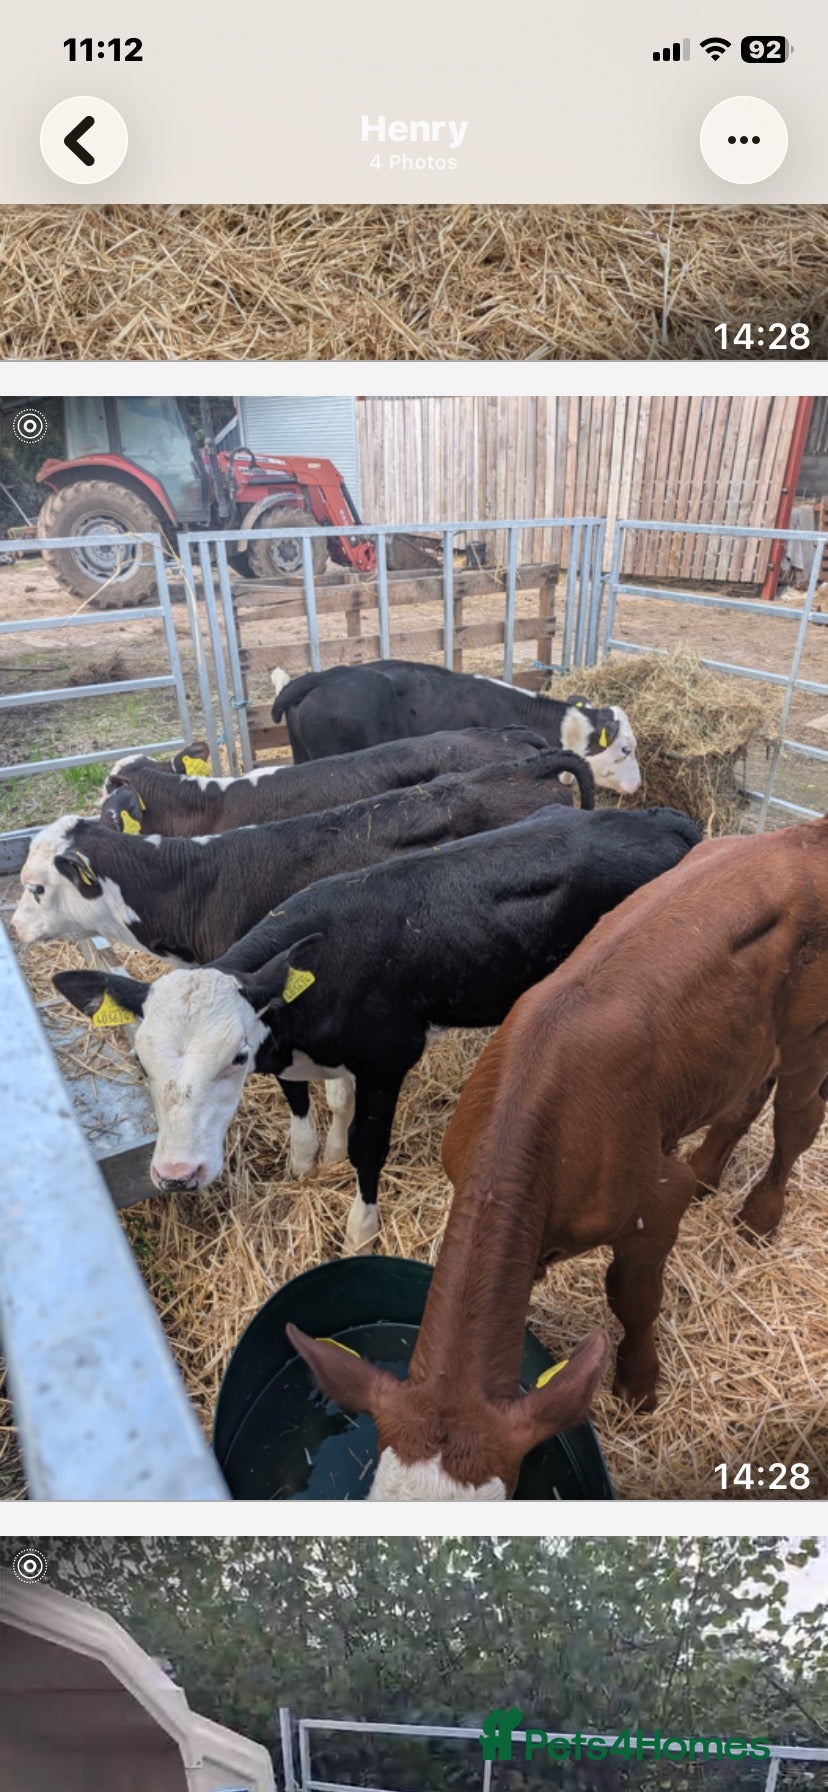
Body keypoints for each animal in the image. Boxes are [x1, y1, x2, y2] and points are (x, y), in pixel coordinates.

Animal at [53, 803, 701, 1252]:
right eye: (140, 1060)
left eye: (237, 1056)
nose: (177, 1175)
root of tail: (663, 818)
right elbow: (314, 1103)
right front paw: (315, 1159)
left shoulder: (389, 1059)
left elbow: (370, 1146)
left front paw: (362, 1227)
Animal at [287, 815, 828, 1497]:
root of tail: (800, 835)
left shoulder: (654, 1197)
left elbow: (632, 1295)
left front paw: (638, 1384)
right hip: (744, 1037)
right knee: (748, 1094)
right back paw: (709, 1173)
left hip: (810, 1032)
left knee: (797, 1119)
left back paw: (760, 1215)